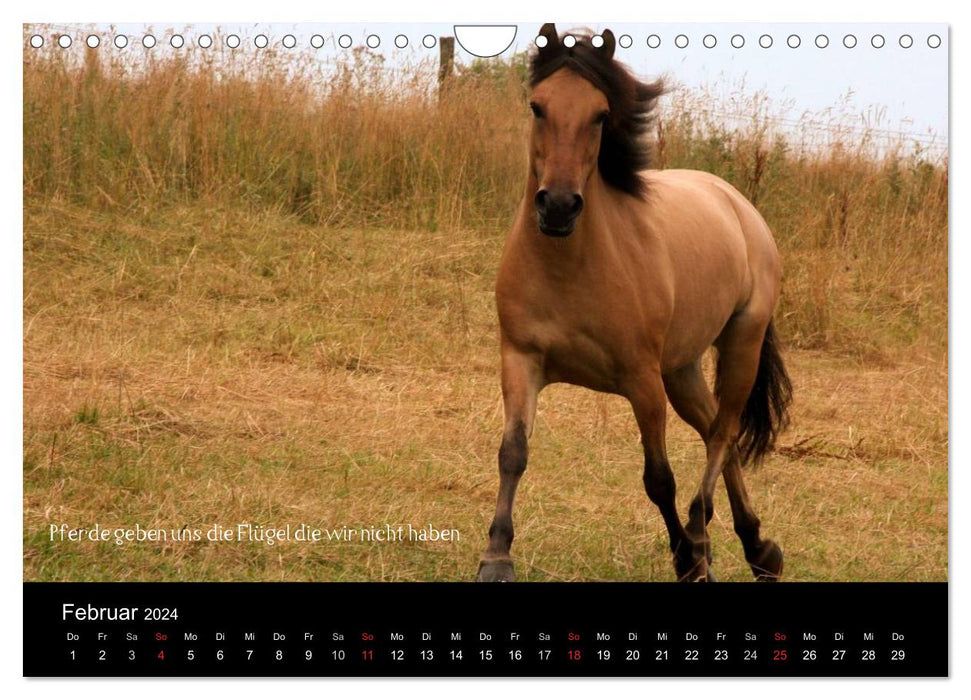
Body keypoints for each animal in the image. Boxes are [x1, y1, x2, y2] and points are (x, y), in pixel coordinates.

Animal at [476, 21, 788, 584]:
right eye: (537, 106)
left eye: (601, 115)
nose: (558, 206)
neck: (571, 267)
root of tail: (738, 204)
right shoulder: (520, 360)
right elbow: (512, 454)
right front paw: (496, 558)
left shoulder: (642, 381)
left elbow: (658, 479)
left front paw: (687, 561)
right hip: (682, 369)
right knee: (717, 430)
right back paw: (758, 548)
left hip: (740, 345)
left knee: (723, 433)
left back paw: (705, 538)